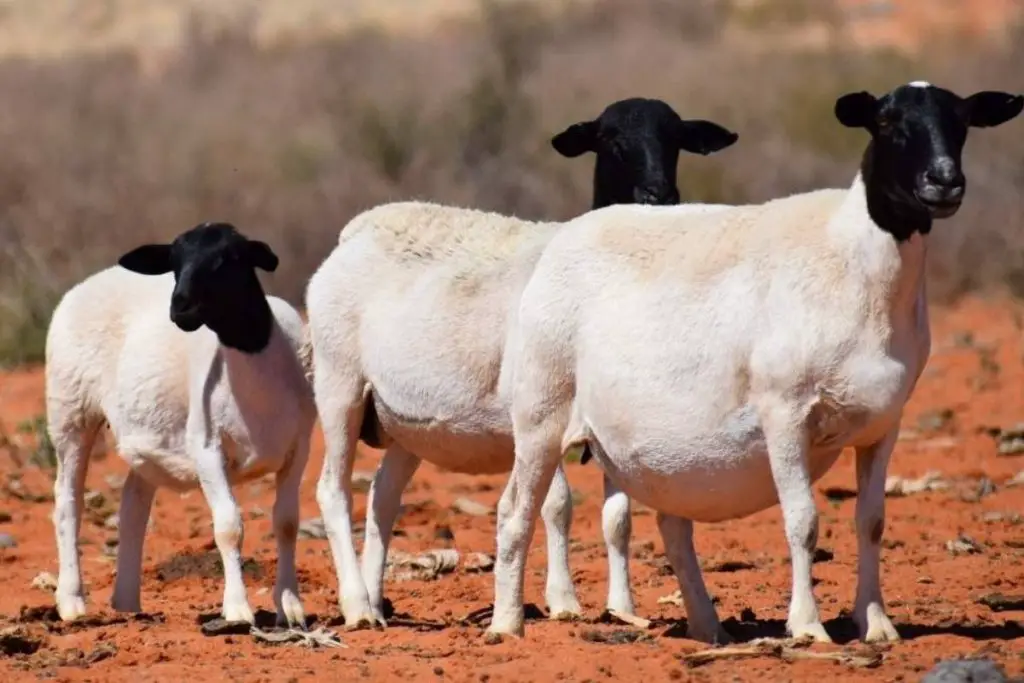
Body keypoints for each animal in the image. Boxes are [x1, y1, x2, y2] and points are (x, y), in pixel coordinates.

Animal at [45, 223, 315, 626]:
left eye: (229, 257)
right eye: (174, 262)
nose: (180, 306)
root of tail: (90, 281)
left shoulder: (300, 446)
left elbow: (286, 522)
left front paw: (290, 606)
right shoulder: (206, 448)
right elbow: (229, 527)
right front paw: (237, 609)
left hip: (144, 433)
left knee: (133, 504)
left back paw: (127, 600)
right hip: (69, 410)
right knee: (68, 501)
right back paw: (72, 601)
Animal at [303, 97, 737, 630]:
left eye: (676, 140)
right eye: (612, 141)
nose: (659, 194)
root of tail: (354, 232)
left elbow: (617, 519)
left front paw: (621, 608)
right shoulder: (539, 409)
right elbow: (558, 505)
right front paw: (564, 601)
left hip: (404, 420)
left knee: (382, 497)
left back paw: (376, 596)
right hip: (339, 383)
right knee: (333, 491)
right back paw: (358, 607)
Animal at [489, 82, 1024, 643]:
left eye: (962, 123)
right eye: (887, 122)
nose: (944, 181)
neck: (854, 265)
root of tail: (566, 238)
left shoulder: (884, 424)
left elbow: (871, 521)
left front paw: (876, 623)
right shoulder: (783, 411)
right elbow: (803, 521)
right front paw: (808, 626)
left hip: (653, 448)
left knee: (672, 526)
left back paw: (707, 627)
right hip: (541, 416)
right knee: (516, 511)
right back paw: (507, 624)